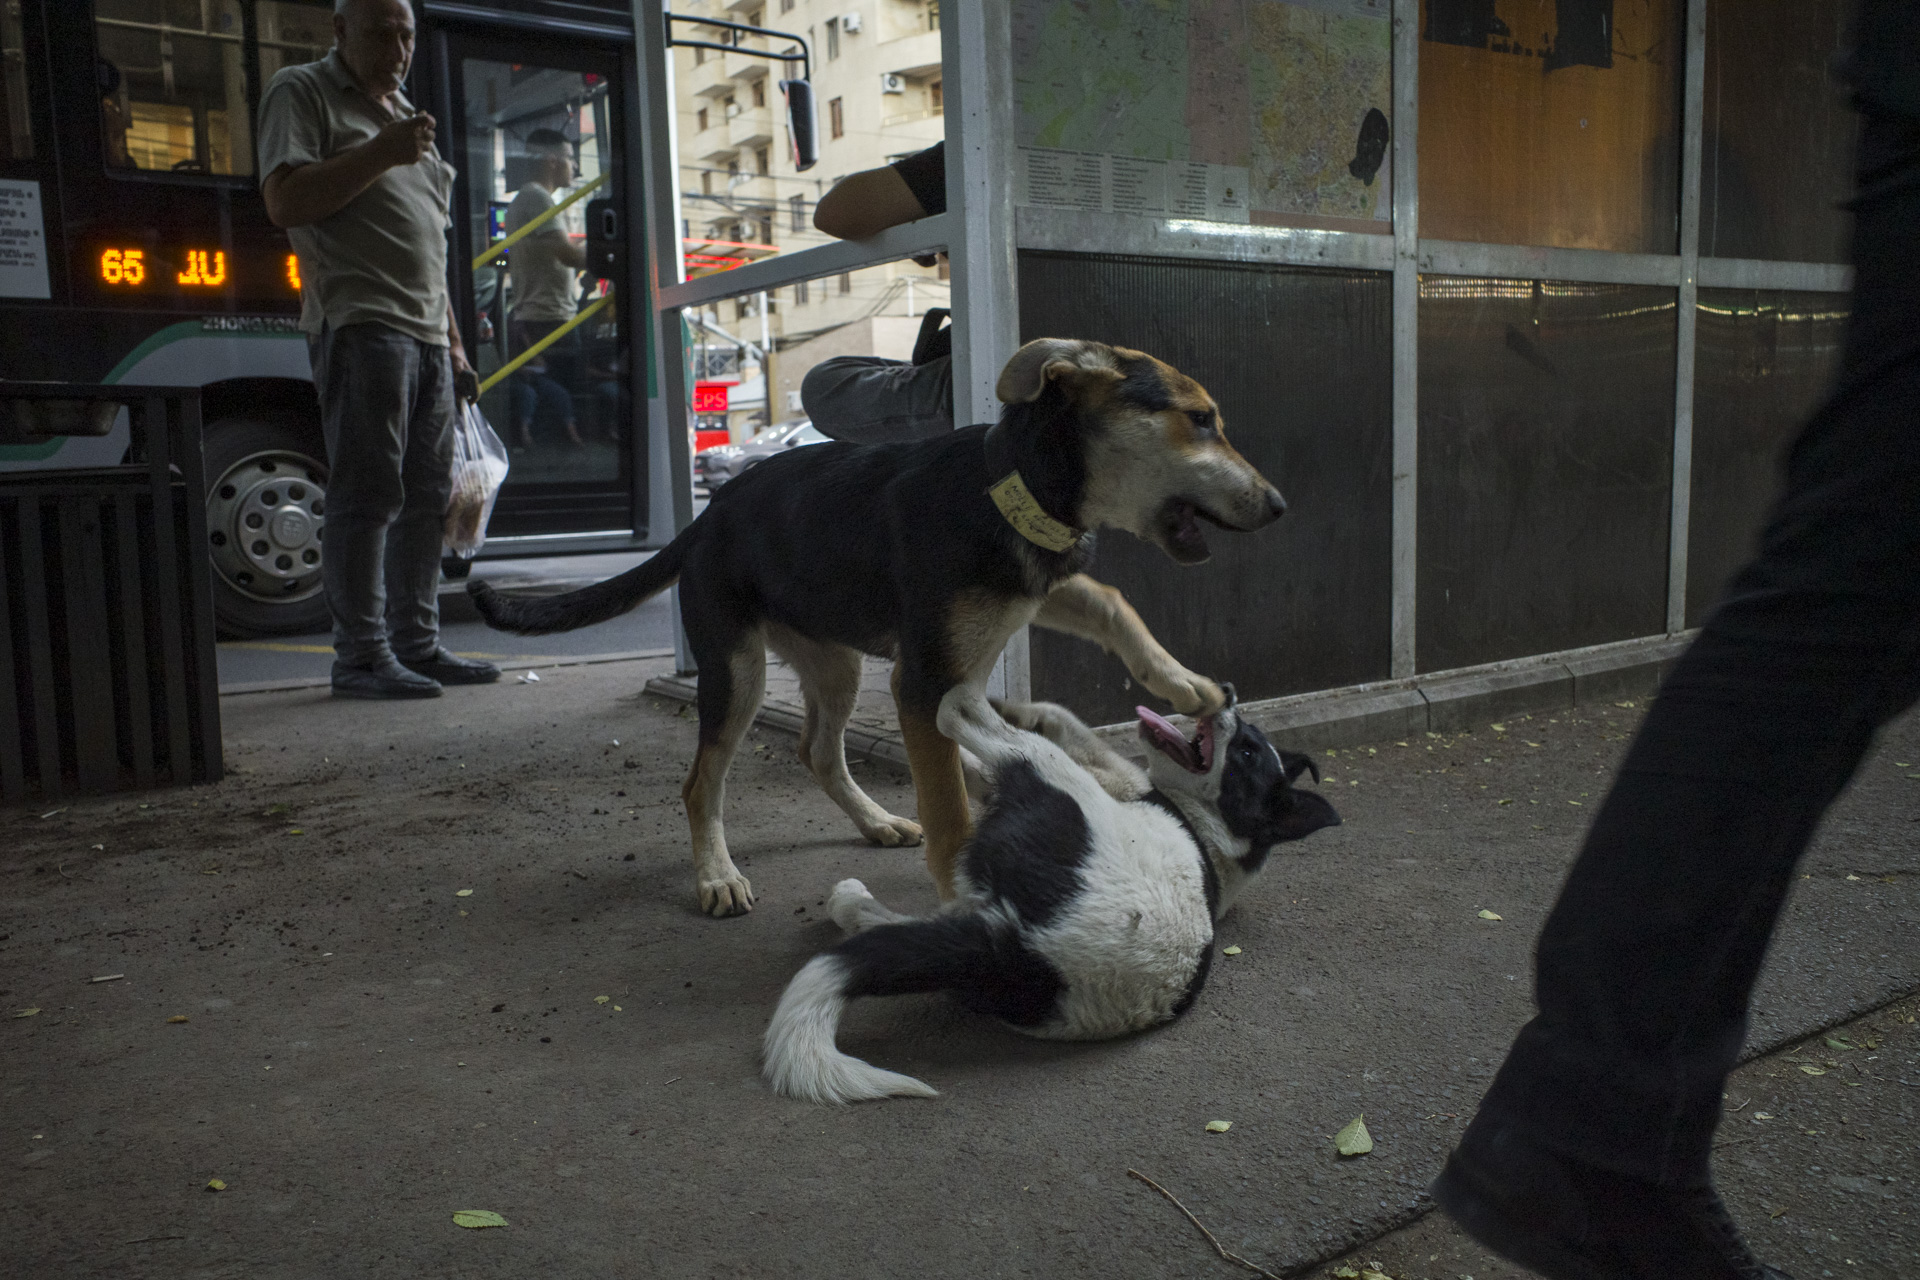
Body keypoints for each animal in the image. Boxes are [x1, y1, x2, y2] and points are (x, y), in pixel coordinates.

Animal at [469, 338, 1288, 917]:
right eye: (1201, 420)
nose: (1280, 505)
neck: (1008, 485)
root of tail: (707, 516)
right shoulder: (921, 683)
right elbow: (951, 804)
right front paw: (963, 890)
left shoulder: (1032, 589)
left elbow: (1114, 601)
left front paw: (1183, 683)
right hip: (737, 672)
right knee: (702, 783)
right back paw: (718, 877)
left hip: (837, 664)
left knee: (817, 751)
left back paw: (875, 822)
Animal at [761, 686, 1340, 1103]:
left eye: (1246, 750)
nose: (1227, 693)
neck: (1211, 830)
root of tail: (1024, 956)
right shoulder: (1113, 772)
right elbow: (1065, 718)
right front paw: (1022, 705)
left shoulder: (1104, 783)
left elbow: (1052, 731)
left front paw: (996, 707)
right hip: (975, 912)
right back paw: (851, 900)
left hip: (1054, 785)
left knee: (981, 729)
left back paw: (964, 699)